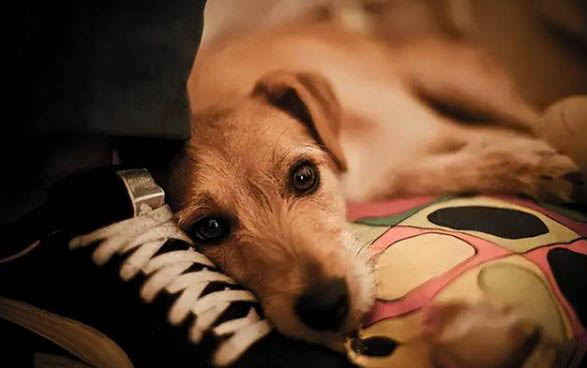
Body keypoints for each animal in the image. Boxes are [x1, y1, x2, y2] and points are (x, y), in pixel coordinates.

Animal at [168, 11, 580, 350]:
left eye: (304, 176)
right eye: (210, 227)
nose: (327, 306)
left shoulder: (437, 132)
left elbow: (502, 143)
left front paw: (538, 165)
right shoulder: (394, 173)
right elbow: (441, 168)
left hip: (456, 82)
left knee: (530, 117)